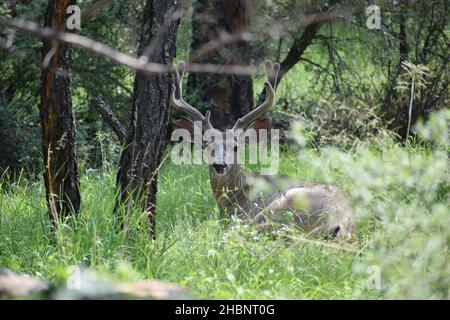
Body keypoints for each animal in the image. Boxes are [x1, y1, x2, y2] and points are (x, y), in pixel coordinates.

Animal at [171, 60, 356, 242]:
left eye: (236, 147)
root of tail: (343, 222)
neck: (237, 198)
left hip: (285, 203)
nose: (219, 165)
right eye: (206, 145)